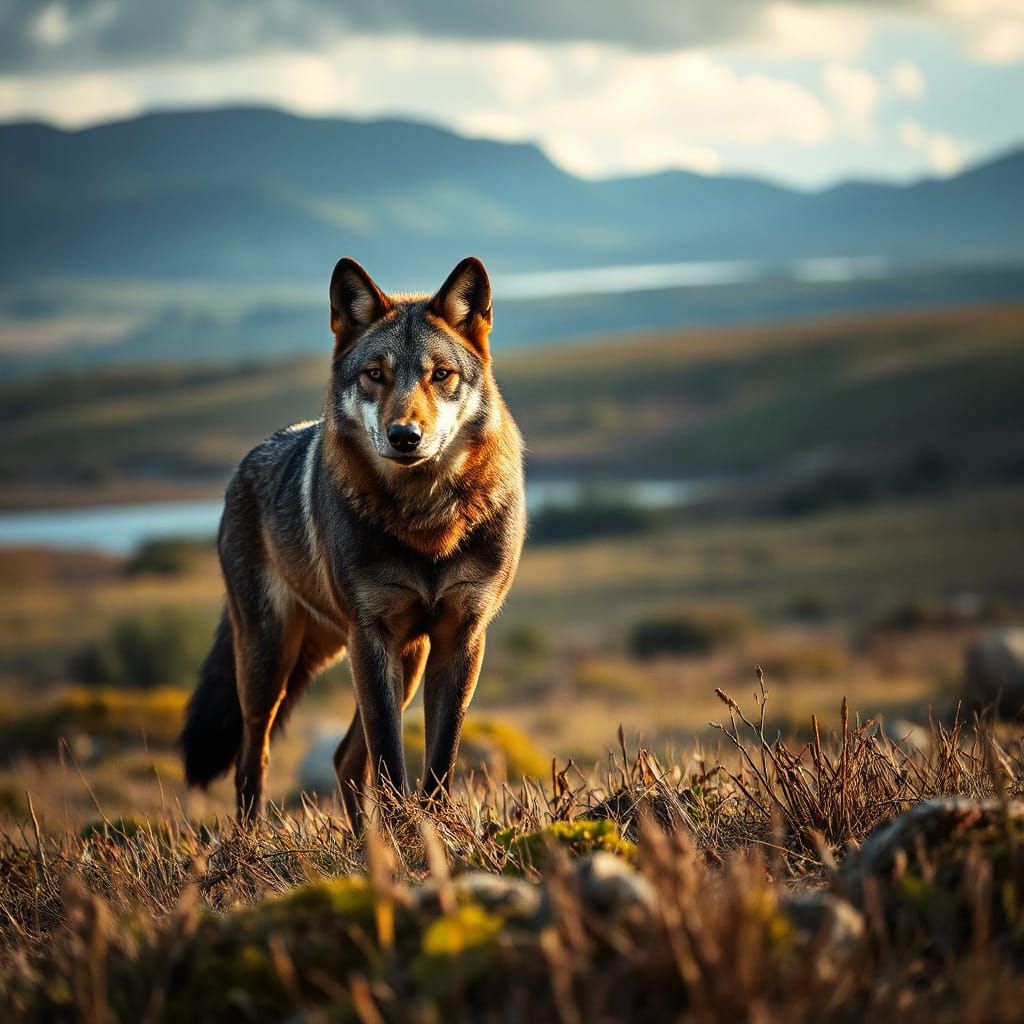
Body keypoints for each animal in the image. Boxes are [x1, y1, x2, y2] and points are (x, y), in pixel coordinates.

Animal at [180, 256, 525, 821]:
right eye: (375, 374)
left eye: (440, 375)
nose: (405, 436)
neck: (426, 520)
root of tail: (249, 462)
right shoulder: (371, 636)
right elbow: (388, 759)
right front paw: (408, 832)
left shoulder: (461, 636)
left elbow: (440, 757)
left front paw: (430, 828)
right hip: (270, 662)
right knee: (253, 759)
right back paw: (249, 841)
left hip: (402, 659)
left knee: (343, 757)